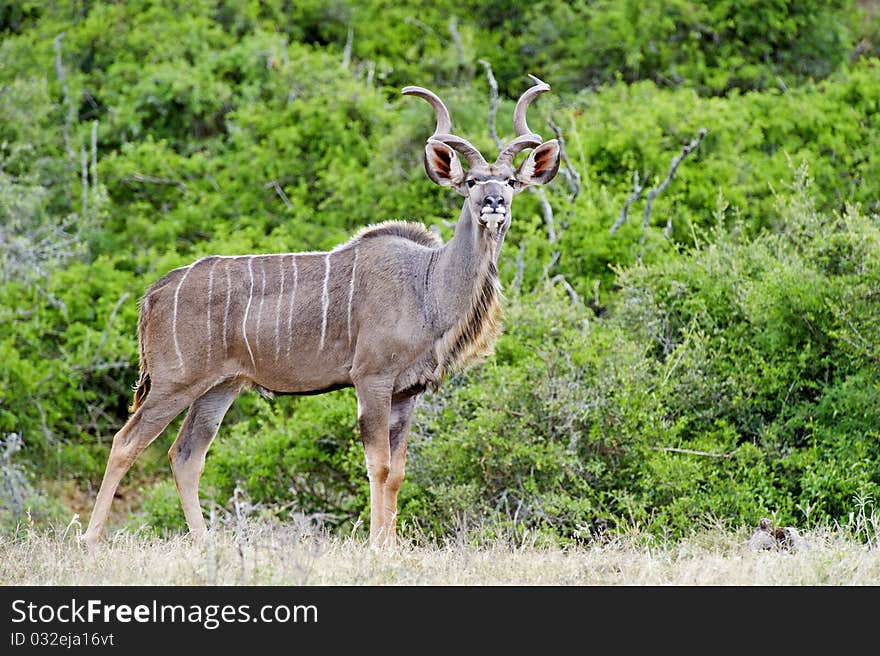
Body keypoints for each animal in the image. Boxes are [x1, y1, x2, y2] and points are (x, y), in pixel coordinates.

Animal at [84, 75, 564, 548]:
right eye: (471, 182)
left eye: (511, 181)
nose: (493, 204)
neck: (426, 284)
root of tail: (155, 293)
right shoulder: (372, 380)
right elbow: (379, 466)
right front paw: (376, 547)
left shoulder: (407, 393)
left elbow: (398, 472)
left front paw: (390, 546)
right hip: (175, 384)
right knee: (125, 442)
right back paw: (90, 540)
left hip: (218, 388)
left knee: (185, 455)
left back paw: (206, 545)